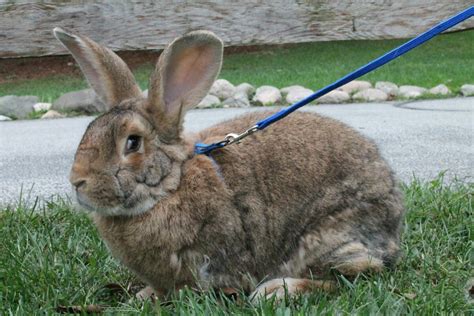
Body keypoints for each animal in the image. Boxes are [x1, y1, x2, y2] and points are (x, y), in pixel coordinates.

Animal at [55, 27, 404, 302]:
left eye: (132, 142)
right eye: (89, 130)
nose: (77, 181)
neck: (171, 188)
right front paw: (144, 295)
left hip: (328, 237)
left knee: (357, 272)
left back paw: (276, 291)